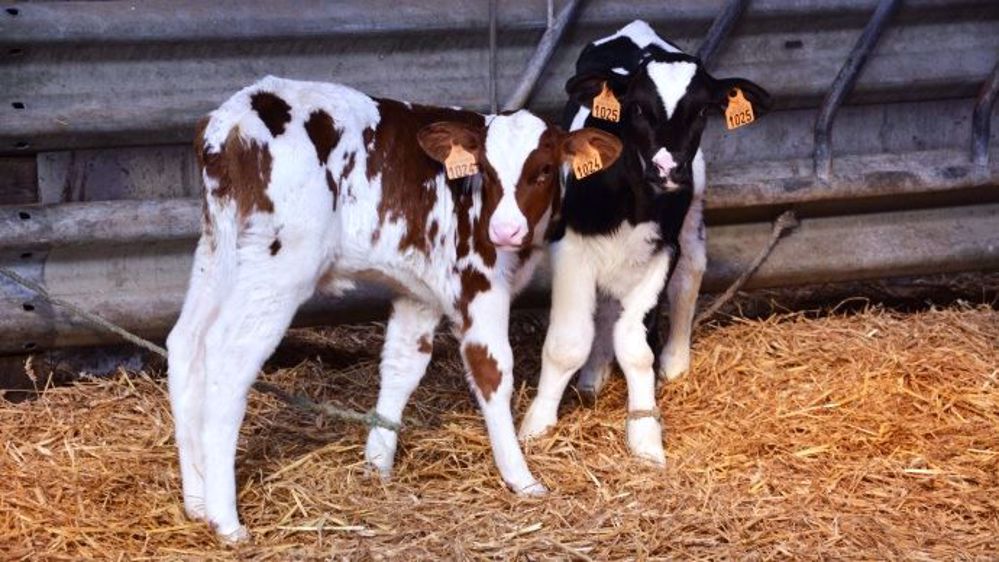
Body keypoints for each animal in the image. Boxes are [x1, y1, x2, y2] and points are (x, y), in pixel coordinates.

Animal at [165, 75, 622, 541]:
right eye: (486, 171)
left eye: (543, 170)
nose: (504, 230)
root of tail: (231, 121)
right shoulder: (478, 282)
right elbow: (492, 370)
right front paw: (521, 477)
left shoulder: (418, 292)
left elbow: (402, 367)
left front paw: (377, 464)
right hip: (279, 265)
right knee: (228, 359)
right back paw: (226, 519)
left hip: (219, 250)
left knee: (187, 344)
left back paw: (196, 502)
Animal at [518, 21, 771, 464]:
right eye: (636, 108)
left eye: (702, 110)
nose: (667, 169)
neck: (630, 197)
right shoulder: (570, 246)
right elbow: (569, 340)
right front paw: (537, 424)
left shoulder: (663, 249)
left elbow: (635, 344)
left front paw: (645, 433)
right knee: (605, 306)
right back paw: (593, 376)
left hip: (692, 213)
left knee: (691, 272)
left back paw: (674, 360)